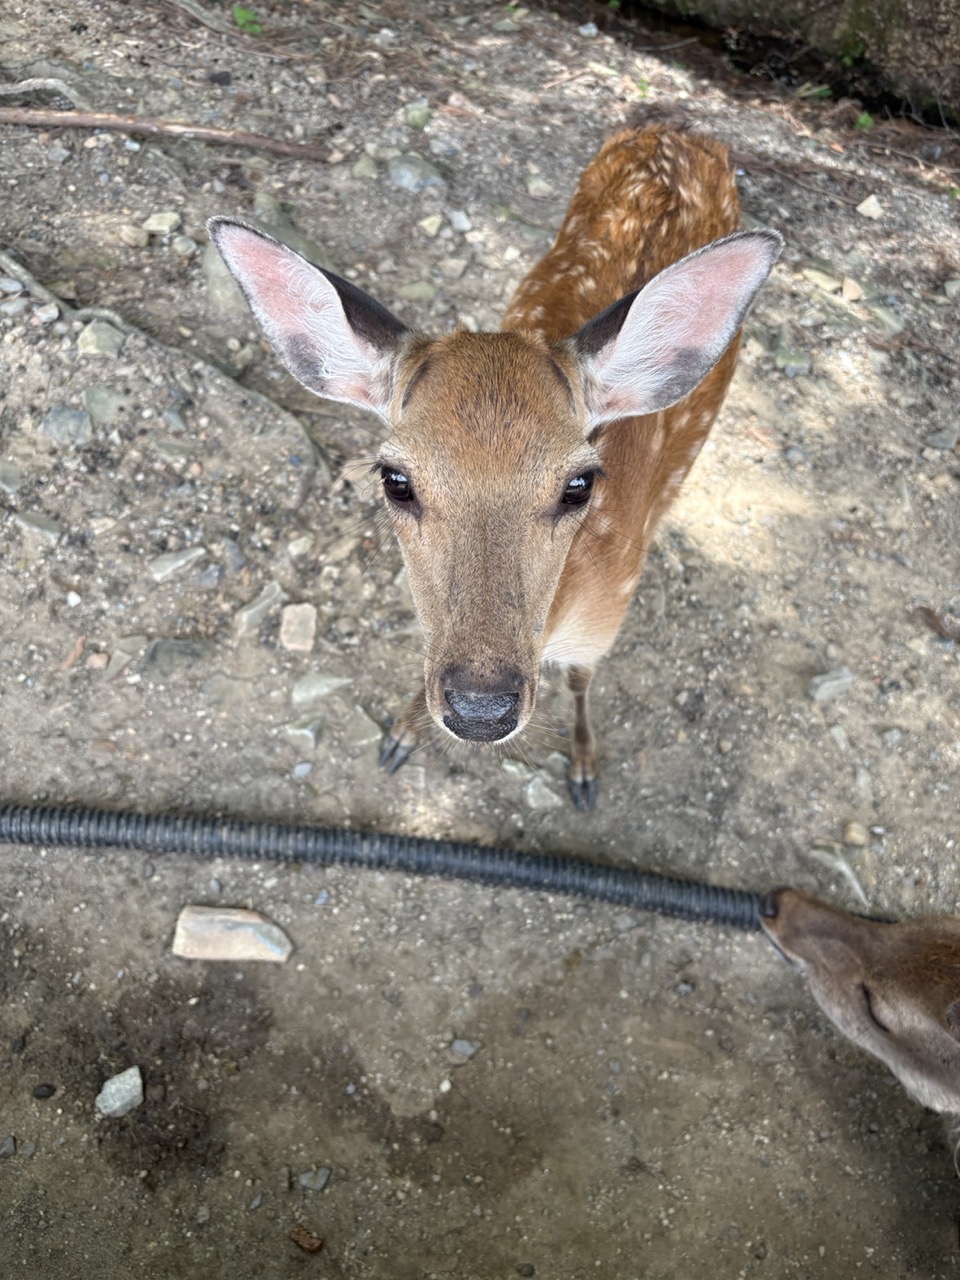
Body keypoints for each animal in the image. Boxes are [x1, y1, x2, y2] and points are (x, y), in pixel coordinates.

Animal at [209, 122, 781, 809]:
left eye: (579, 484)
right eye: (395, 480)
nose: (481, 710)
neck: (558, 622)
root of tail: (675, 128)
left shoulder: (608, 613)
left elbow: (582, 680)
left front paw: (583, 767)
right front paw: (402, 733)